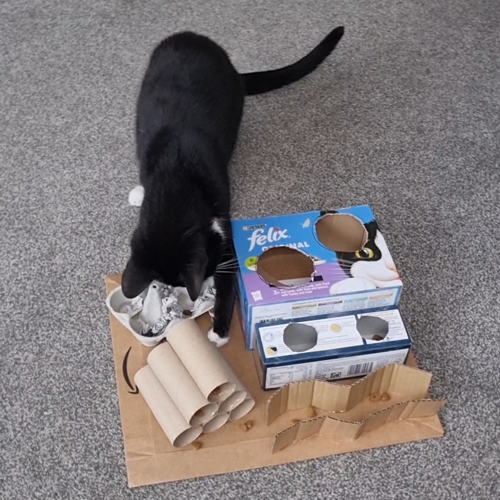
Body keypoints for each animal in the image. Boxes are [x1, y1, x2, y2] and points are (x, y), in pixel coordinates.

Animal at [123, 29, 346, 346]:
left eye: (210, 268)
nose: (202, 286)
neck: (173, 181)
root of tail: (189, 36)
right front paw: (139, 193)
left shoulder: (222, 219)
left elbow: (229, 276)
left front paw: (219, 331)